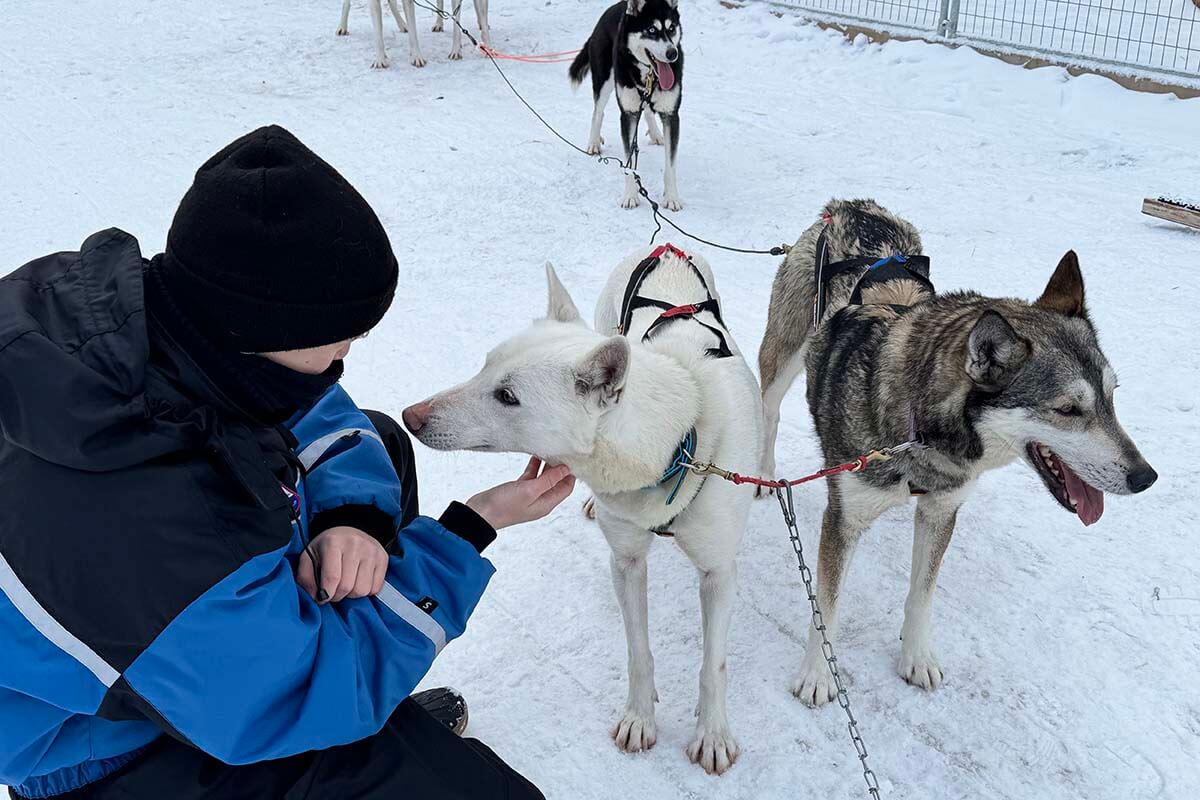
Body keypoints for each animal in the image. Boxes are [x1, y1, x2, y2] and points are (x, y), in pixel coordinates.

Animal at [571, 0, 686, 211]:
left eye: (671, 28)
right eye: (651, 30)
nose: (672, 53)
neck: (649, 75)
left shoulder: (671, 115)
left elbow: (670, 165)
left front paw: (672, 197)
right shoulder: (629, 115)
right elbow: (629, 165)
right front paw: (631, 196)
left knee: (647, 110)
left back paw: (656, 134)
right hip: (604, 81)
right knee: (598, 112)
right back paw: (593, 142)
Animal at [753, 200, 1156, 705]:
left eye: (1111, 397)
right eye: (1068, 409)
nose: (1146, 477)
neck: (919, 428)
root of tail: (853, 206)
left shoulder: (941, 512)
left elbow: (922, 594)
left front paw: (916, 655)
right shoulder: (844, 518)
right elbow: (826, 606)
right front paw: (818, 674)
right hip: (782, 355)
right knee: (768, 410)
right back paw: (764, 476)